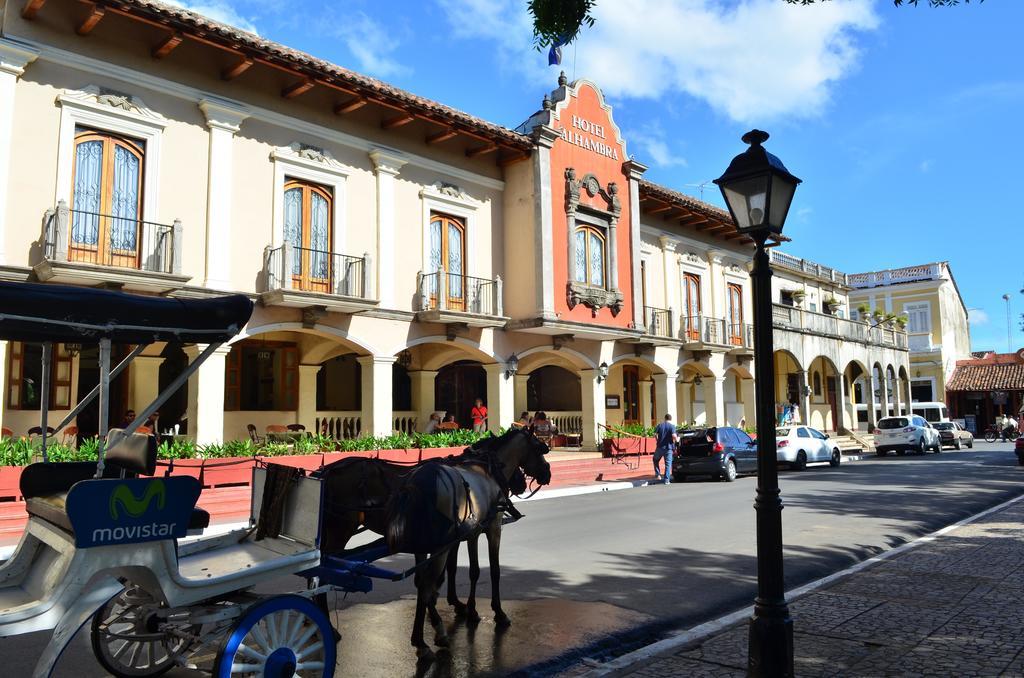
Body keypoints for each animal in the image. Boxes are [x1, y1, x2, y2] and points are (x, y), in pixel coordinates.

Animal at [385, 430, 552, 659]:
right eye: (538, 447)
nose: (548, 473)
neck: (489, 469)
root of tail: (417, 484)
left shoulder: (465, 536)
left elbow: (459, 570)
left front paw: (464, 607)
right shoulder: (489, 529)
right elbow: (487, 571)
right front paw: (494, 612)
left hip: (424, 545)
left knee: (422, 582)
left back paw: (428, 632)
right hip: (439, 545)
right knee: (427, 583)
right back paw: (428, 638)